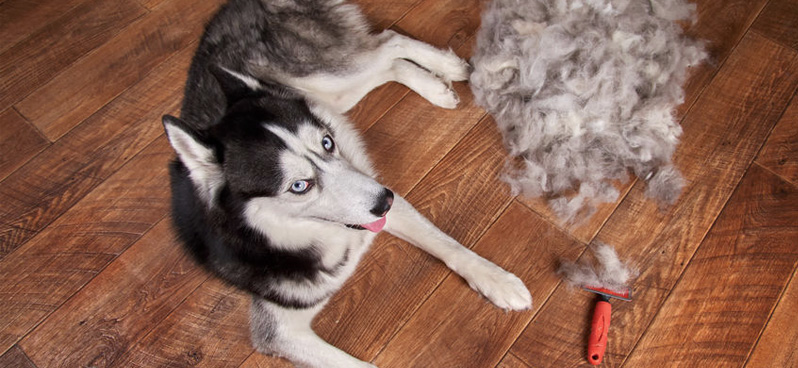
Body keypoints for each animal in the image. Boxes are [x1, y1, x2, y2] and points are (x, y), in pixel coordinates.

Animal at [163, 0, 536, 366]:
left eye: (328, 142)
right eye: (299, 186)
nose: (386, 200)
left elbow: (449, 245)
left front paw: (497, 279)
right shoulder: (280, 332)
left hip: (325, 78)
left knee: (388, 43)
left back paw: (447, 68)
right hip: (328, 94)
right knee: (389, 64)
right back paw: (434, 85)